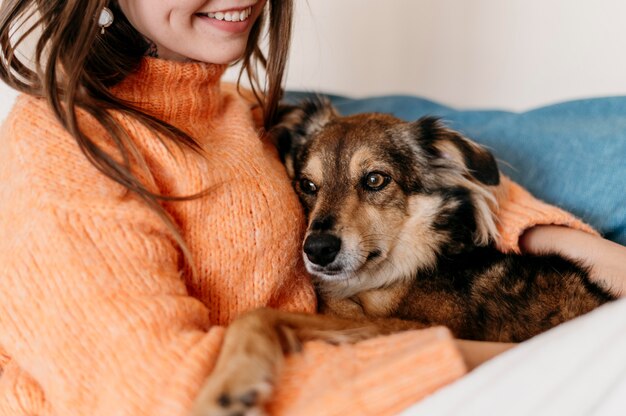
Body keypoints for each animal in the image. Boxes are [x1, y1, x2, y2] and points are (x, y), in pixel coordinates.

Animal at [190, 99, 616, 414]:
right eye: (307, 186)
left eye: (375, 179)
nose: (317, 249)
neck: (402, 271)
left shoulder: (416, 327)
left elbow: (260, 314)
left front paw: (229, 385)